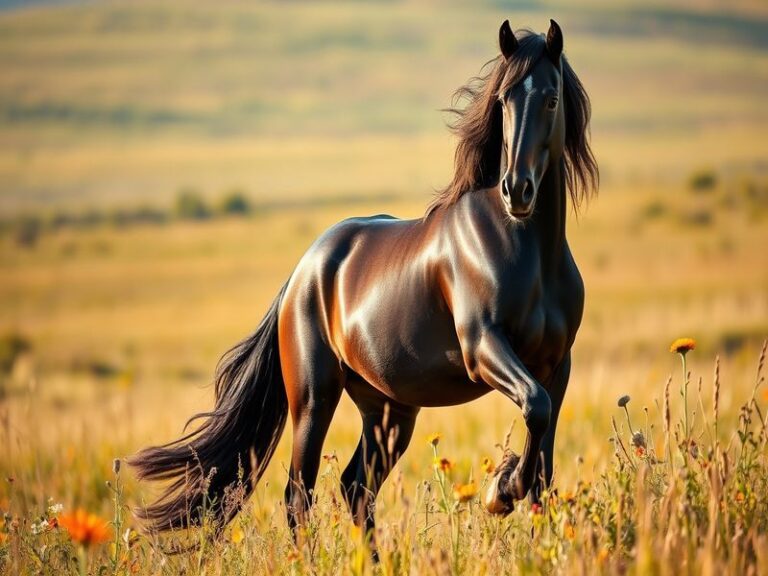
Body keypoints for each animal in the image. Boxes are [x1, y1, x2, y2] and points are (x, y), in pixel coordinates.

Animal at [129, 18, 598, 550]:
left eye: (552, 99)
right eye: (502, 100)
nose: (516, 190)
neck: (529, 251)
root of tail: (303, 272)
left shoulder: (556, 366)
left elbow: (543, 463)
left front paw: (516, 499)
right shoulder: (483, 349)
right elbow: (534, 416)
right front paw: (500, 490)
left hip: (389, 410)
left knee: (356, 487)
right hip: (314, 398)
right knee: (299, 494)